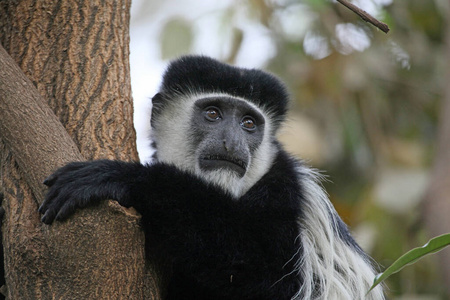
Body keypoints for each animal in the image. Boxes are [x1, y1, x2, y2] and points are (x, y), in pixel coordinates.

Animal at [39, 56, 384, 300]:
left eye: (248, 123)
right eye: (213, 114)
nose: (231, 142)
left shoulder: (285, 193)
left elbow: (263, 272)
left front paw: (122, 177)